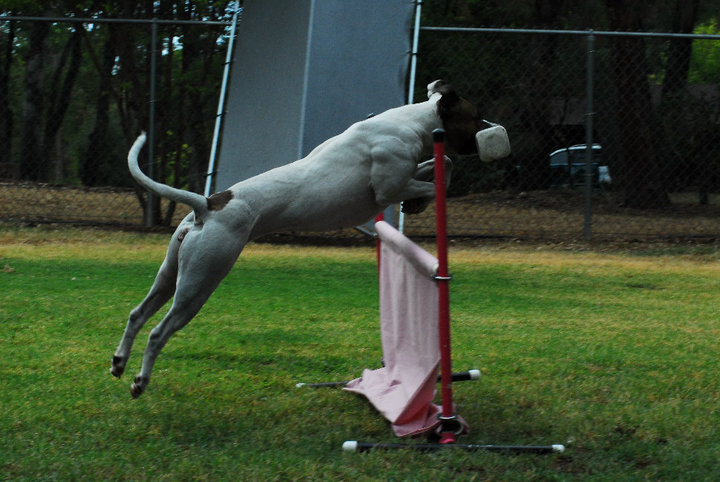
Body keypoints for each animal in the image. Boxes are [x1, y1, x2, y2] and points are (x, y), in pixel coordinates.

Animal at [109, 79, 510, 398]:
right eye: (476, 115)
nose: (494, 131)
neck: (410, 121)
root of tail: (207, 205)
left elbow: (440, 167)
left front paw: (417, 203)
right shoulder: (388, 187)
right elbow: (441, 175)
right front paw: (420, 201)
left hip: (171, 275)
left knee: (137, 313)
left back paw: (118, 362)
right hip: (199, 284)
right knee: (157, 331)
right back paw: (139, 382)